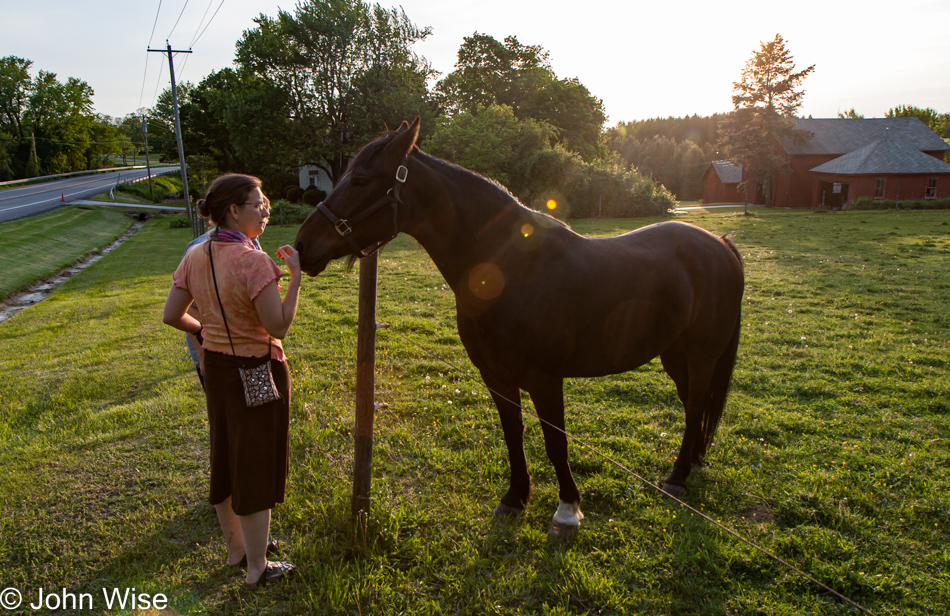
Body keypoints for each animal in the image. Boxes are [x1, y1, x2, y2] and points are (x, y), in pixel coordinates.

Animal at [294, 116, 748, 536]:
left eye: (361, 179)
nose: (302, 246)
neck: (510, 271)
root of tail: (720, 245)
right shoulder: (495, 375)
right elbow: (513, 434)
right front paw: (514, 498)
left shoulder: (545, 379)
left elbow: (555, 441)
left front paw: (567, 510)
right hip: (674, 354)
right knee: (692, 405)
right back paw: (690, 463)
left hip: (701, 354)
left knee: (695, 405)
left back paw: (677, 476)